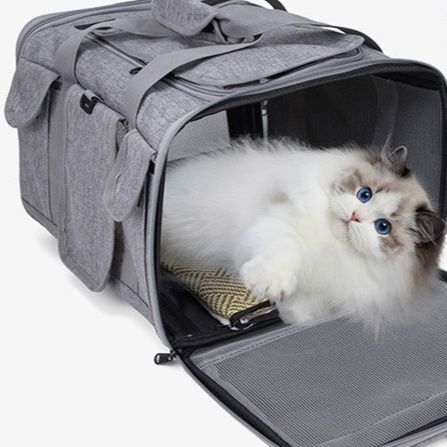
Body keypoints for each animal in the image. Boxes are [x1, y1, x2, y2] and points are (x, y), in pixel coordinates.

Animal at [161, 139, 446, 327]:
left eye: (383, 227)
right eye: (364, 194)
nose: (355, 216)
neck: (330, 242)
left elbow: (307, 306)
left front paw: (289, 313)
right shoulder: (276, 228)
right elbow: (282, 252)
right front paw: (269, 285)